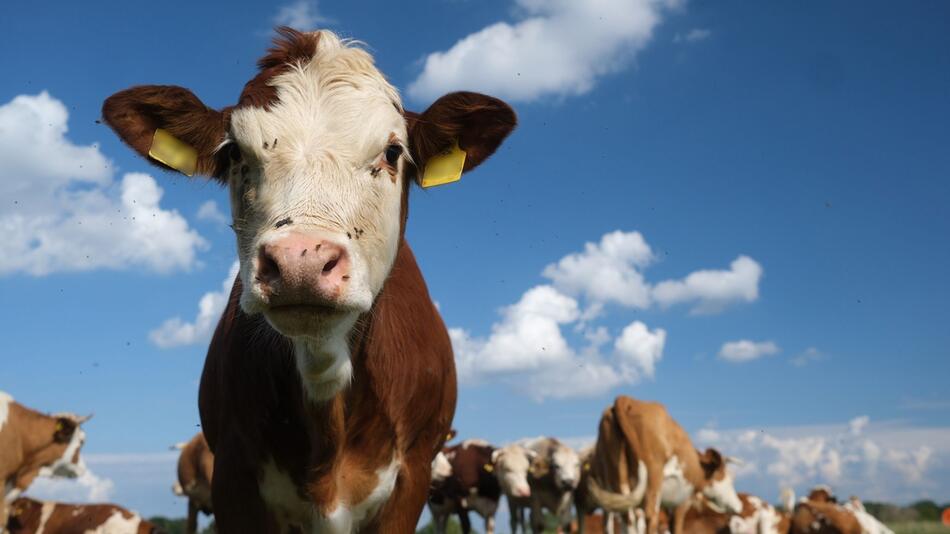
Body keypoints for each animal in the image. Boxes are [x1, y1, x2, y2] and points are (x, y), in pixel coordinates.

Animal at [576, 396, 748, 534]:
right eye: (729, 479)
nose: (739, 505)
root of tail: (627, 399)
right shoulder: (682, 501)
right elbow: (676, 527)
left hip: (618, 478)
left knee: (627, 518)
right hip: (653, 476)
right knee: (650, 516)